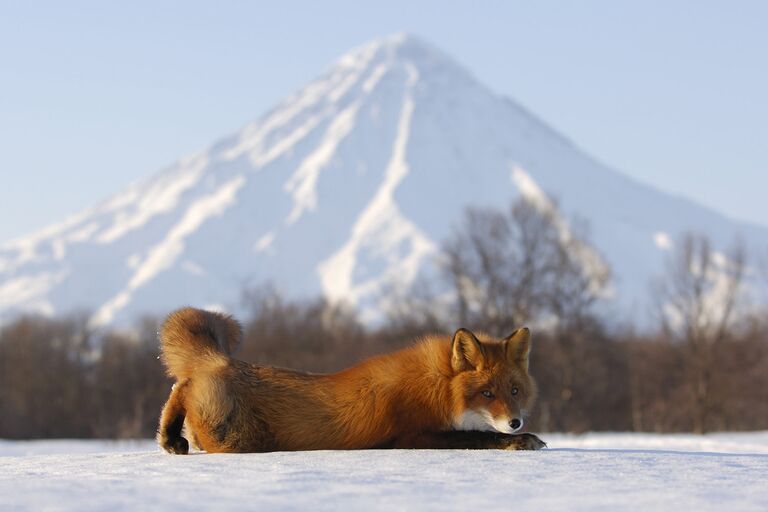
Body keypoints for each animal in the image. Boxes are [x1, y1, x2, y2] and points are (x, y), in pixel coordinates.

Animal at [156, 306, 544, 454]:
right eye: (487, 393)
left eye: (514, 391)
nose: (515, 422)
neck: (436, 387)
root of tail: (223, 361)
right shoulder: (411, 436)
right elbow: (478, 437)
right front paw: (520, 441)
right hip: (234, 435)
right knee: (183, 388)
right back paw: (171, 436)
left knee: (180, 386)